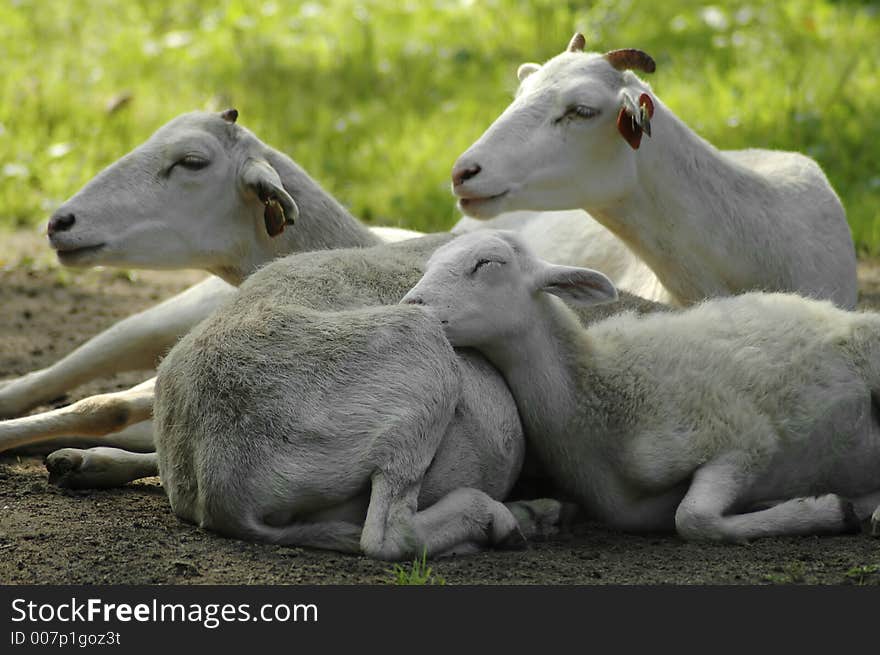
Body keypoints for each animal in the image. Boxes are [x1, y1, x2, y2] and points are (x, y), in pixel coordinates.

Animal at [402, 232, 880, 544]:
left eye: (488, 263)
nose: (411, 305)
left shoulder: (743, 440)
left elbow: (693, 519)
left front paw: (827, 510)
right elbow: (689, 518)